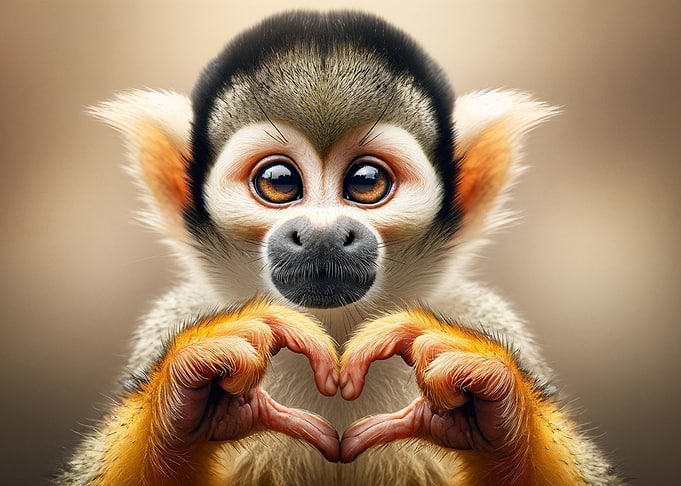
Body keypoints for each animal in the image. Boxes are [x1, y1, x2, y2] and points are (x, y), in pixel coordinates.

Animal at [57, 10, 625, 486]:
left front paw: (487, 394)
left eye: (367, 182)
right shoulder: (174, 318)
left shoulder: (483, 315)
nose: (324, 233)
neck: (337, 337)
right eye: (280, 182)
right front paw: (193, 383)